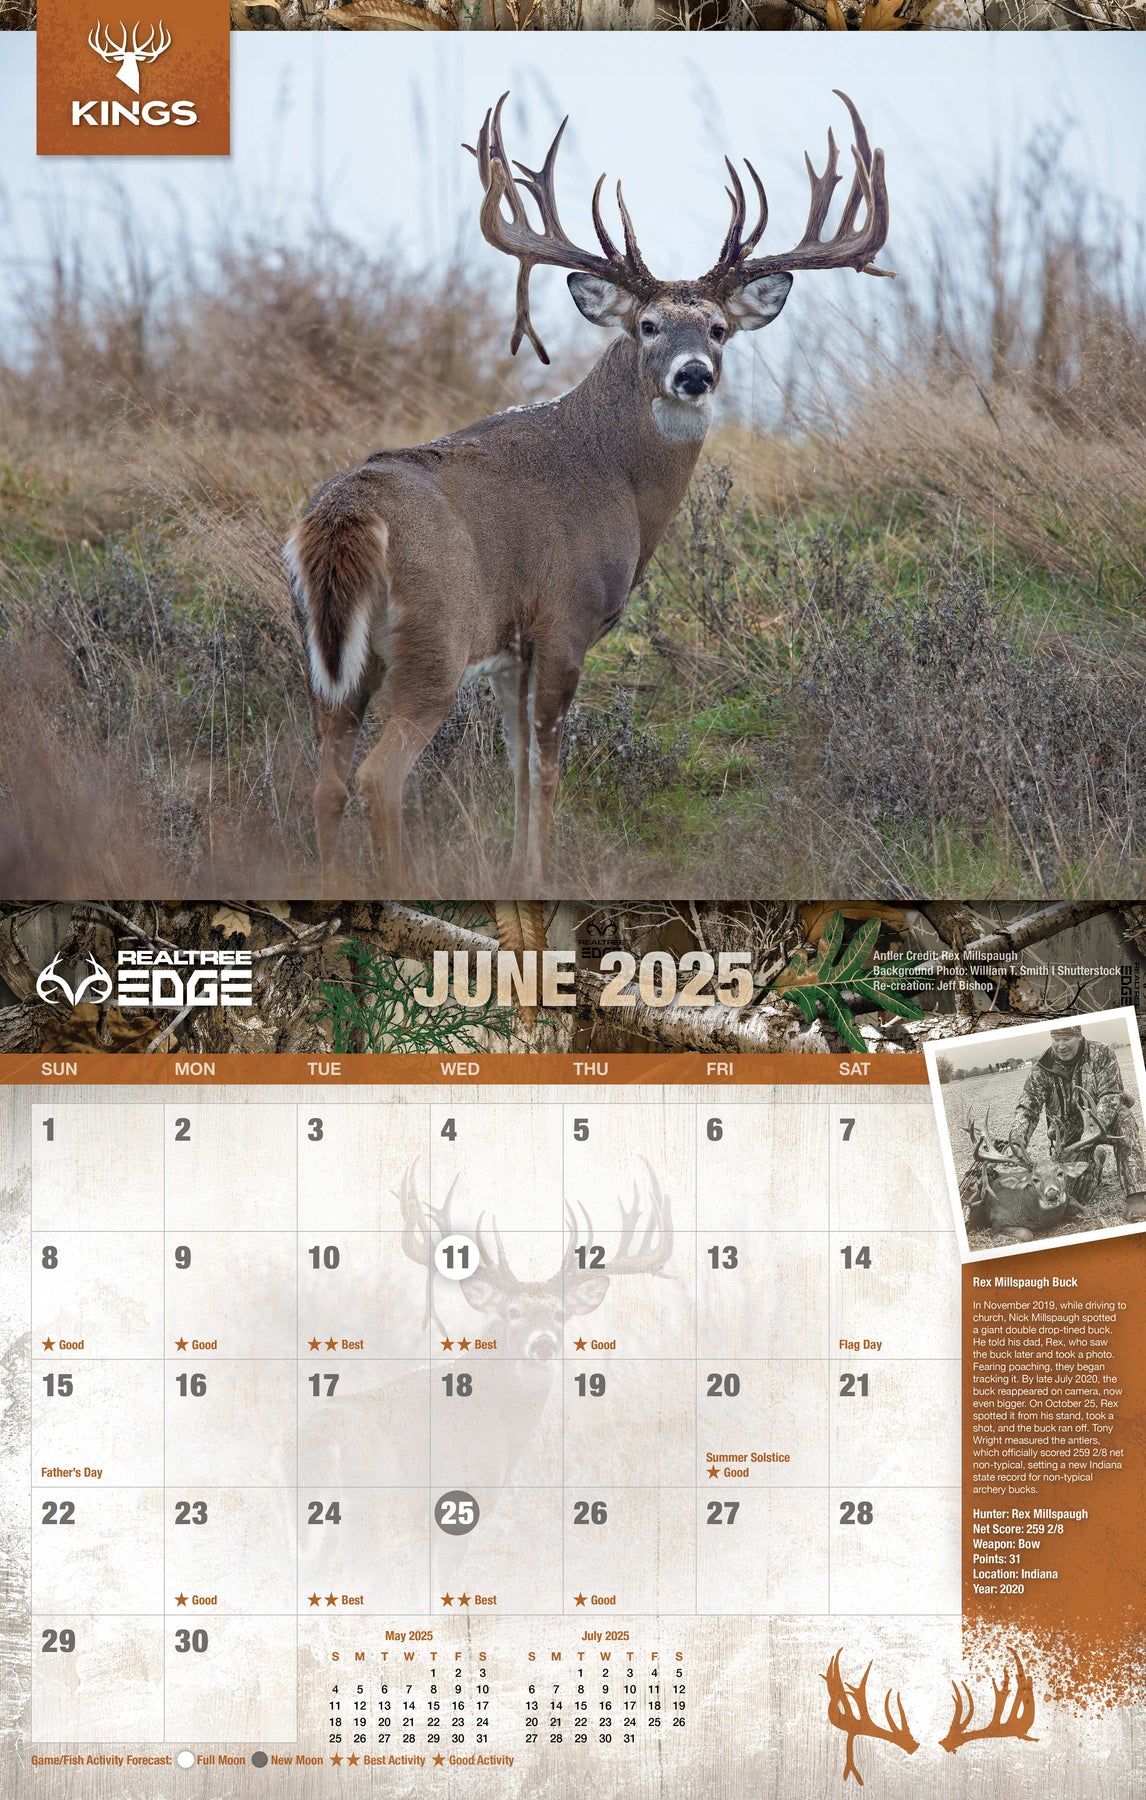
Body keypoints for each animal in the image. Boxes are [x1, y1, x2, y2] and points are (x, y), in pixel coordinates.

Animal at [284, 91, 893, 895]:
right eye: (649, 324)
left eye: (719, 328)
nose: (693, 374)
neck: (619, 483)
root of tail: (342, 517)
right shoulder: (566, 619)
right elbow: (547, 767)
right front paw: (538, 881)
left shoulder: (512, 649)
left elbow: (516, 767)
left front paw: (515, 871)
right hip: (432, 642)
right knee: (380, 775)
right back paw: (405, 892)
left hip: (332, 663)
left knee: (325, 779)